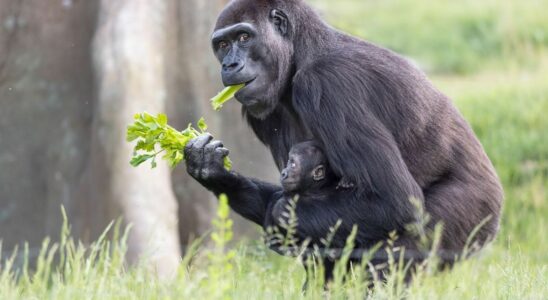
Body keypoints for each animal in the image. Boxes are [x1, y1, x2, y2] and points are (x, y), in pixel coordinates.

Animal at [183, 0, 500, 264]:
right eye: (222, 44)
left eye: (244, 38)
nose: (229, 64)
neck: (302, 52)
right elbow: (294, 188)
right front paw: (211, 168)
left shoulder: (327, 82)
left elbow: (393, 202)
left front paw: (279, 213)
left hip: (474, 216)